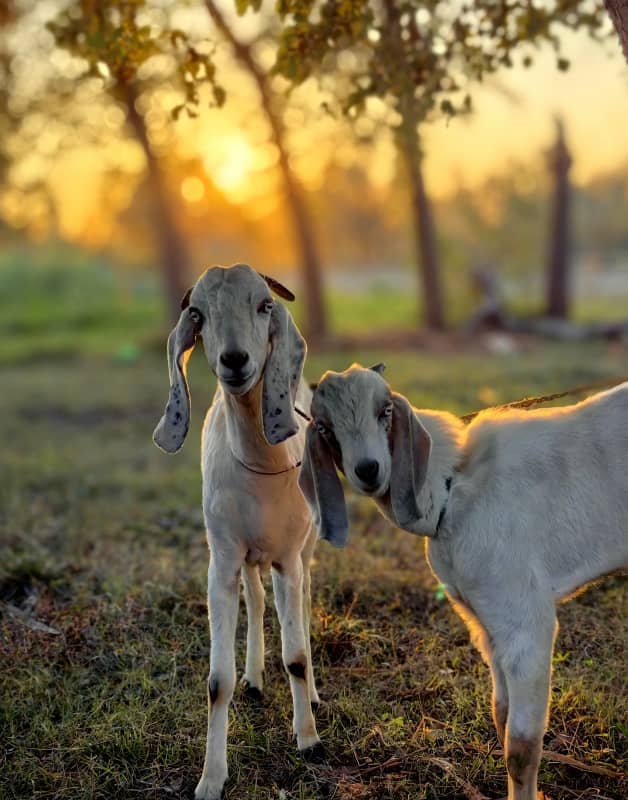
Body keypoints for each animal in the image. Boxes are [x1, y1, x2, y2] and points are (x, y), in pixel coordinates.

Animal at [151, 264, 318, 800]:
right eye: (198, 314)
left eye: (265, 304)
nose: (235, 359)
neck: (261, 466)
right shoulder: (221, 561)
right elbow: (216, 681)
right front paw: (210, 778)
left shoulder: (287, 555)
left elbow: (297, 655)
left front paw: (309, 739)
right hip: (246, 557)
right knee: (257, 600)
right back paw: (255, 677)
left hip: (304, 550)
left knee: (304, 601)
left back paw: (313, 695)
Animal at [300, 364, 628, 800]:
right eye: (324, 427)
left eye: (385, 410)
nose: (368, 469)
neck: (453, 486)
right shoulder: (485, 624)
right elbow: (500, 715)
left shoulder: (525, 623)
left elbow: (520, 746)